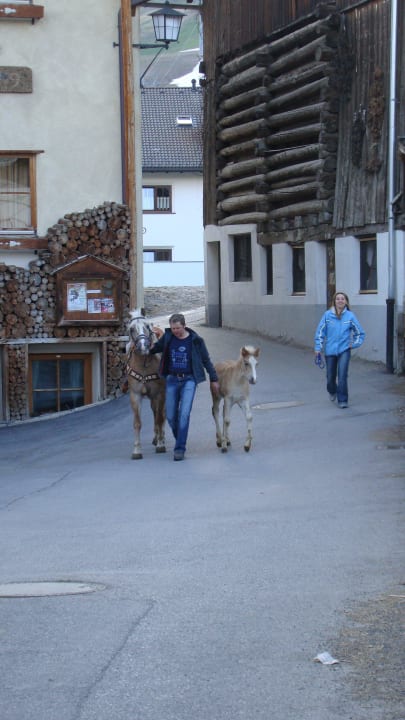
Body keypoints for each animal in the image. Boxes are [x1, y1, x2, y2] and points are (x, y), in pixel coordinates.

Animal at [126, 309, 166, 459]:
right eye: (131, 329)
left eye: (147, 326)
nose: (143, 346)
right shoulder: (135, 395)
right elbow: (137, 423)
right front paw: (137, 450)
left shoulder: (159, 394)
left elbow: (159, 418)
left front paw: (160, 444)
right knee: (155, 412)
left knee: (161, 414)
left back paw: (161, 437)